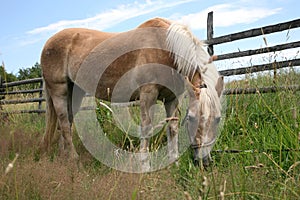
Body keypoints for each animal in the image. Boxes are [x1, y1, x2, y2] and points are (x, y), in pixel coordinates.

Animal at [39, 17, 223, 170]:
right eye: (191, 118)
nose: (204, 161)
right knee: (64, 122)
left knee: (67, 122)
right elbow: (146, 128)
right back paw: (73, 159)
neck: (165, 46)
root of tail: (48, 43)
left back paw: (63, 157)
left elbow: (172, 128)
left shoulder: (172, 98)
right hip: (59, 90)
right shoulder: (148, 94)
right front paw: (145, 166)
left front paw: (174, 163)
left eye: (218, 119)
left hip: (75, 92)